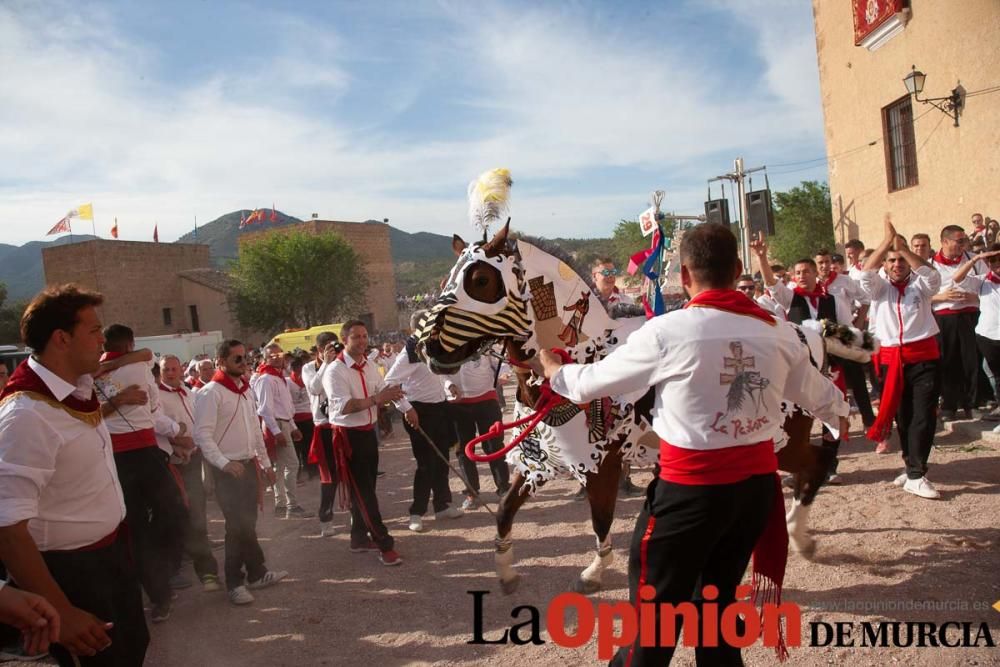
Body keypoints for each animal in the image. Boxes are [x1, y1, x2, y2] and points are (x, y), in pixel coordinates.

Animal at [414, 168, 876, 596]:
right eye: (448, 279)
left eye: (480, 280)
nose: (427, 346)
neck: (580, 359)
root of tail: (806, 332)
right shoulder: (538, 465)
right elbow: (506, 512)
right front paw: (506, 572)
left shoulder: (600, 465)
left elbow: (601, 521)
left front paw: (594, 572)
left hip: (782, 438)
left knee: (814, 465)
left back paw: (801, 536)